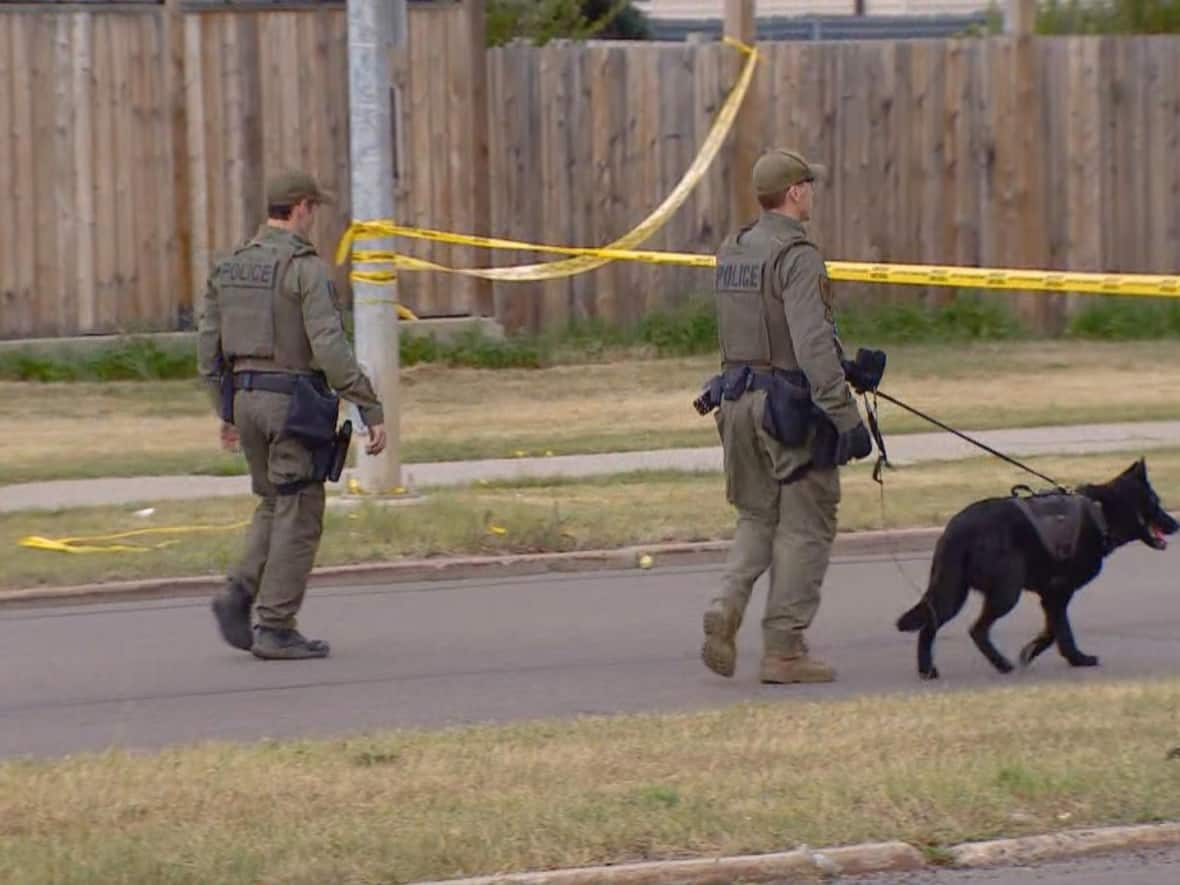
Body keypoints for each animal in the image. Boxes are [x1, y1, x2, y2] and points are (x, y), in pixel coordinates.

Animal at [896, 460, 1175, 684]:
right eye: (1157, 503)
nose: (1177, 524)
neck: (1102, 511)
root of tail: (957, 529)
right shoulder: (1058, 593)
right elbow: (1058, 630)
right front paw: (1062, 655)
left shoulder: (1051, 595)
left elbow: (1055, 628)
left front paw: (1053, 654)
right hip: (1006, 592)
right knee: (976, 629)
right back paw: (1000, 664)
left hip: (953, 591)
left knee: (930, 627)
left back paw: (927, 670)